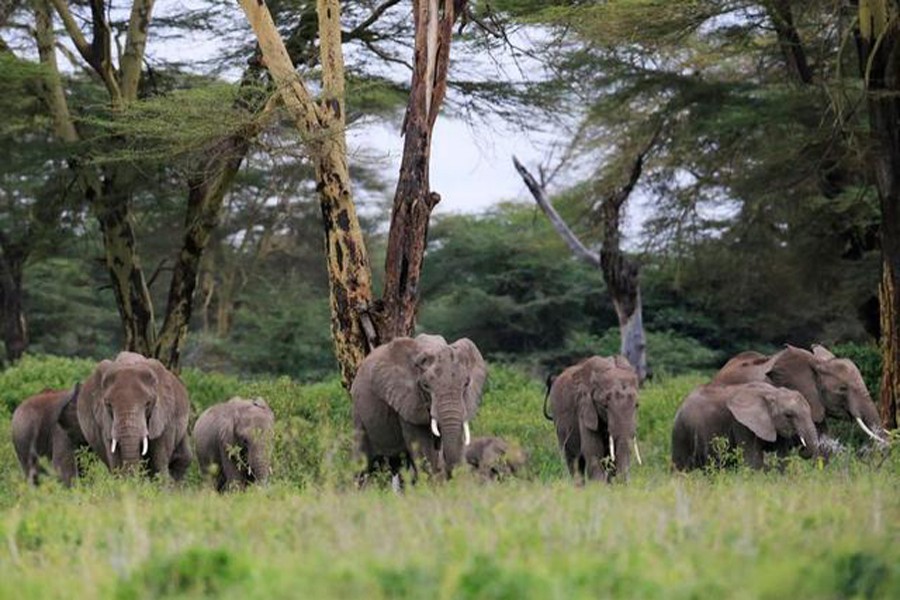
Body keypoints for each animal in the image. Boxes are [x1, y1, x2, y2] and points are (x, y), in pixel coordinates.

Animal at [350, 336, 486, 486]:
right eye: (426, 386)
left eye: (466, 383)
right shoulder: (407, 402)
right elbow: (422, 447)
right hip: (358, 412)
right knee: (362, 460)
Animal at [672, 382, 820, 472]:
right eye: (789, 415)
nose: (801, 446)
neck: (772, 392)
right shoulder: (741, 424)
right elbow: (752, 461)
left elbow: (782, 459)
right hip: (681, 431)